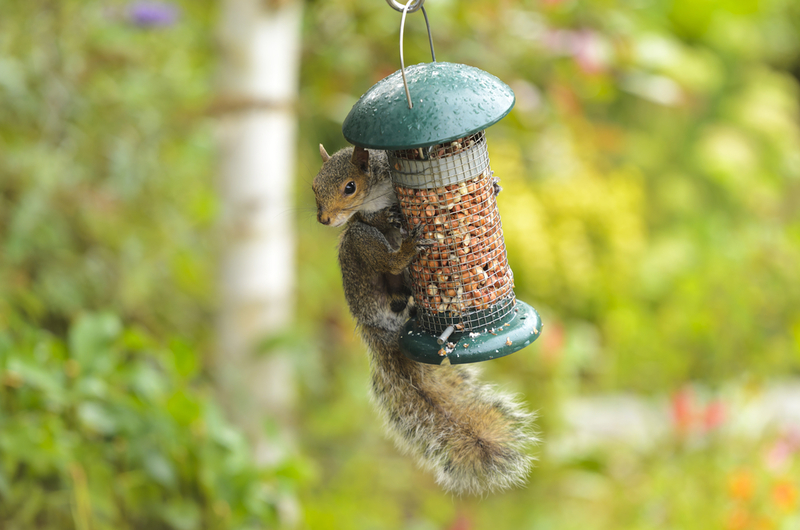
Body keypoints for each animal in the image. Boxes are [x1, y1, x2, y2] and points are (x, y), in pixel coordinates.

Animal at [312, 142, 536, 492]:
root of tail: (372, 322)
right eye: (314, 186)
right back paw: (405, 250)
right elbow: (375, 218)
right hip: (357, 252)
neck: (377, 189)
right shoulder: (365, 216)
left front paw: (495, 185)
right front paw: (392, 216)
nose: (324, 218)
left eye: (349, 187)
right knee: (380, 257)